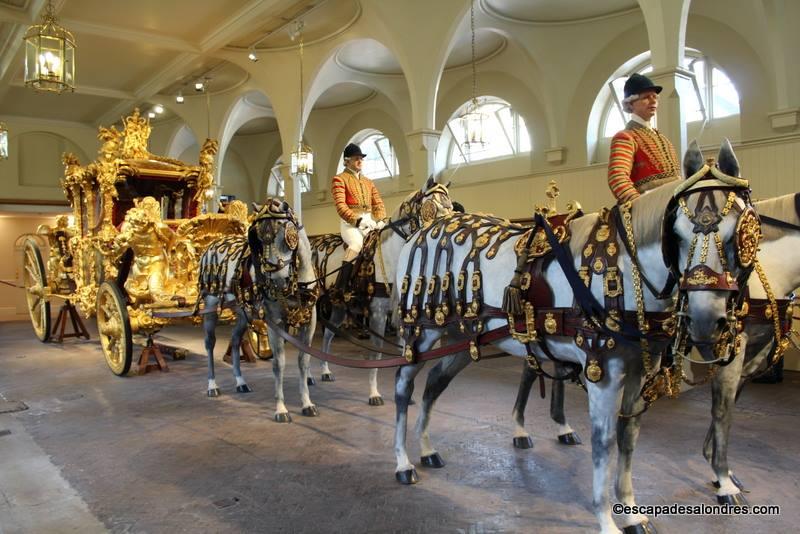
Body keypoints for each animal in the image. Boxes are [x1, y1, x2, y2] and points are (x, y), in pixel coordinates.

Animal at [200, 199, 318, 426]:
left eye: (286, 235)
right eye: (259, 240)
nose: (276, 282)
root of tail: (212, 245)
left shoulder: (309, 321)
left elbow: (304, 361)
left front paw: (307, 403)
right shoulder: (275, 322)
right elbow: (279, 364)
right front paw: (281, 409)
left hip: (242, 312)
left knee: (235, 340)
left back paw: (240, 382)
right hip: (211, 304)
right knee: (210, 343)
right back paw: (212, 386)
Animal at [310, 177, 454, 406]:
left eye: (451, 206)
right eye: (432, 208)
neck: (390, 255)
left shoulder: (399, 316)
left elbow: (403, 351)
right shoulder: (377, 315)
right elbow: (376, 354)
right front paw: (374, 394)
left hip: (339, 307)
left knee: (328, 336)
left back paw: (325, 371)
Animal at [390, 142, 752, 534]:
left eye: (738, 234)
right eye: (679, 236)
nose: (706, 320)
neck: (625, 270)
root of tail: (425, 228)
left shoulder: (641, 370)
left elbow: (628, 436)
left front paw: (632, 511)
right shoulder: (602, 374)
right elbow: (603, 443)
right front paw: (606, 519)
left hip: (463, 338)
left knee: (433, 386)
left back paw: (427, 450)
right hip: (419, 334)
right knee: (404, 389)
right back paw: (403, 462)